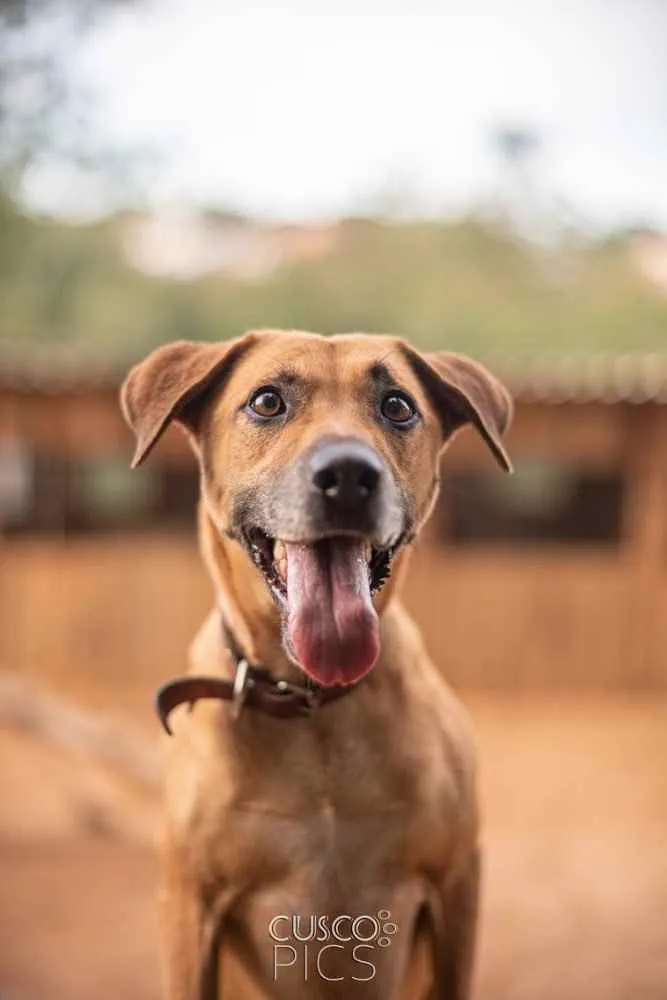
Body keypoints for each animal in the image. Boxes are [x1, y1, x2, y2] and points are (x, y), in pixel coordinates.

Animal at [120, 330, 512, 1000]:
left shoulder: (458, 885)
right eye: (267, 401)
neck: (310, 704)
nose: (349, 475)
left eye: (398, 406)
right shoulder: (188, 907)